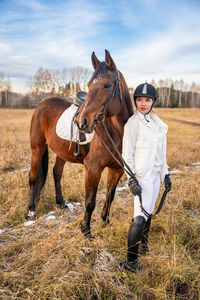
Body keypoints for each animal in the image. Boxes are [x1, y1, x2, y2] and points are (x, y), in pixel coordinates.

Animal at [27, 49, 133, 237]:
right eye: (89, 85)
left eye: (107, 85)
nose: (82, 123)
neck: (116, 132)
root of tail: (42, 103)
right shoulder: (93, 168)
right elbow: (90, 201)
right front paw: (86, 230)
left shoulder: (117, 169)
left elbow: (110, 196)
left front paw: (105, 222)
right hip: (37, 148)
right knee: (33, 177)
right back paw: (32, 210)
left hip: (61, 151)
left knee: (56, 173)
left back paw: (61, 203)